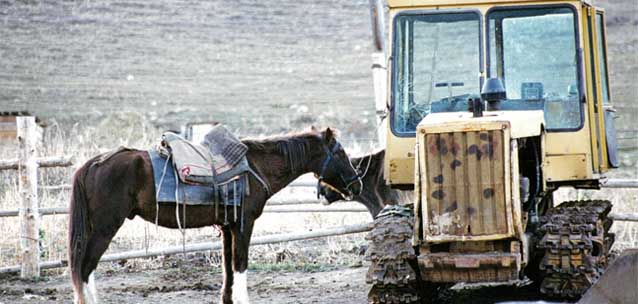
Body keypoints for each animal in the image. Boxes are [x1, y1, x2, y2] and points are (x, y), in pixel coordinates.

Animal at [69, 128, 364, 304]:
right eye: (340, 152)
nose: (357, 184)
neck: (255, 167)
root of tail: (91, 164)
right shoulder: (244, 224)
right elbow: (240, 264)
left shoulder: (227, 227)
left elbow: (228, 270)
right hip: (106, 227)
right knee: (85, 268)